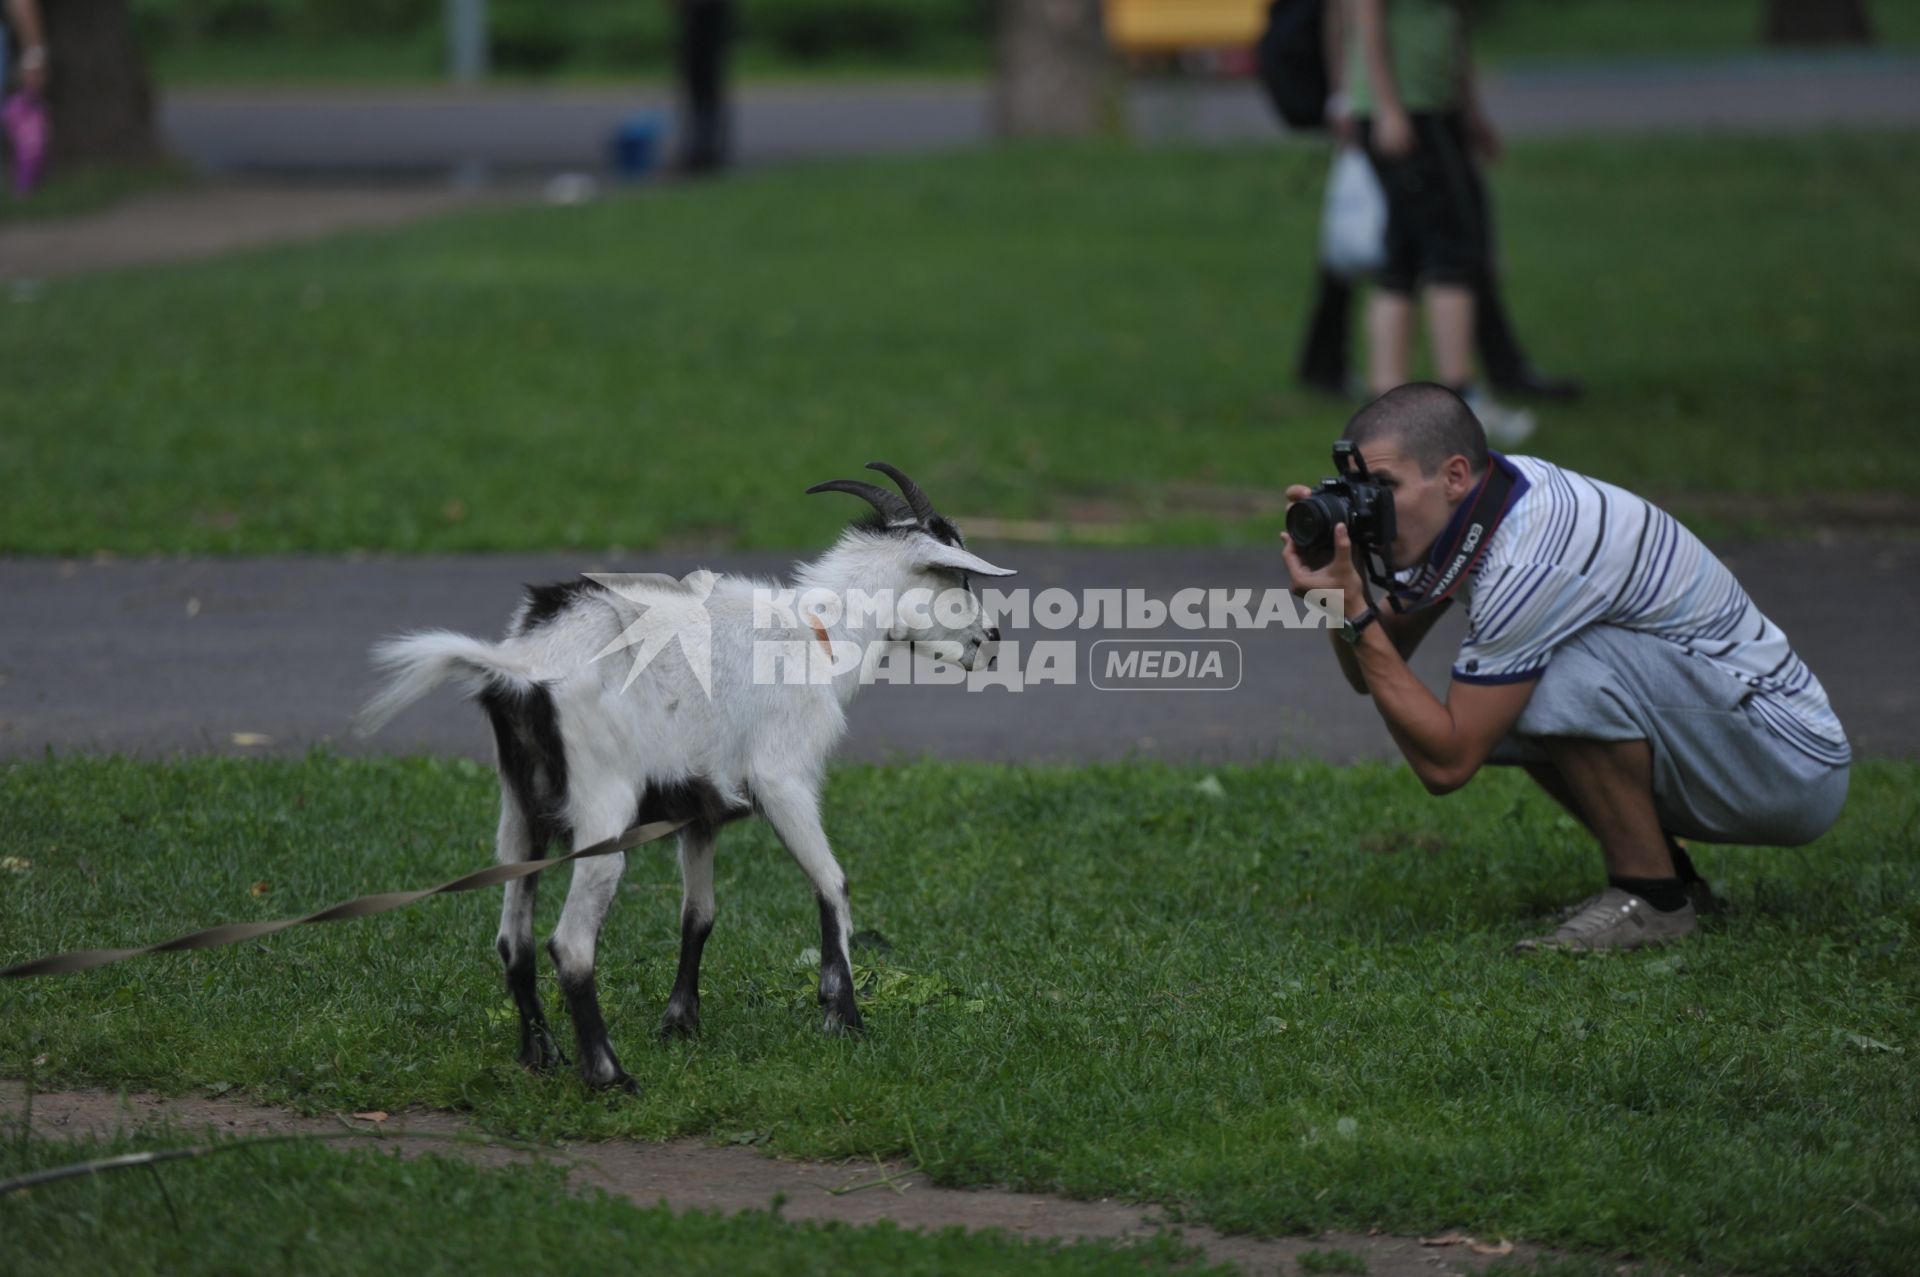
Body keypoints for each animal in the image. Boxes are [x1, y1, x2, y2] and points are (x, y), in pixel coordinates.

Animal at [360, 462, 1021, 1090]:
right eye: (957, 577)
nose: (989, 641)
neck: (816, 639)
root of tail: (524, 662)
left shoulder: (698, 813)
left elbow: (698, 915)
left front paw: (681, 1022)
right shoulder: (784, 779)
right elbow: (832, 884)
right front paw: (844, 1016)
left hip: (522, 812)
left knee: (512, 939)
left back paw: (540, 1056)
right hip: (603, 811)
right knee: (570, 944)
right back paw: (609, 1075)